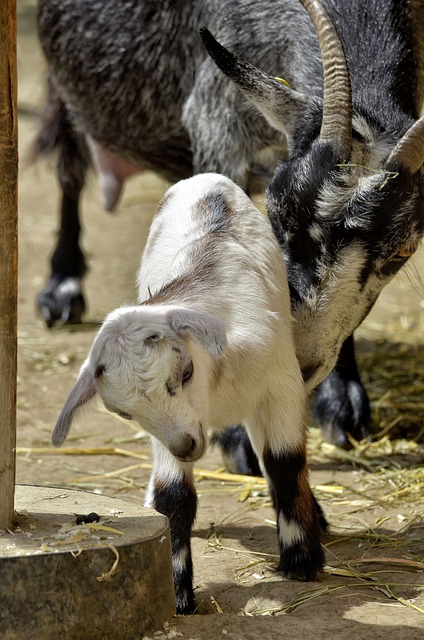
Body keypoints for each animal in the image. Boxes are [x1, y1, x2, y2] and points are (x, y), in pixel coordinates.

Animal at [36, 0, 424, 452]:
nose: (298, 362)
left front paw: (342, 404)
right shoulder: (215, 127)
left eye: (401, 250)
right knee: (66, 158)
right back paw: (62, 287)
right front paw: (238, 438)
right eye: (276, 214)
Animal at [52, 172, 324, 612]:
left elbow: (283, 461)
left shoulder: (281, 385)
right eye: (124, 413)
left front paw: (301, 560)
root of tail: (204, 179)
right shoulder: (170, 435)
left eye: (185, 372)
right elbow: (174, 494)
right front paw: (177, 589)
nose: (187, 446)